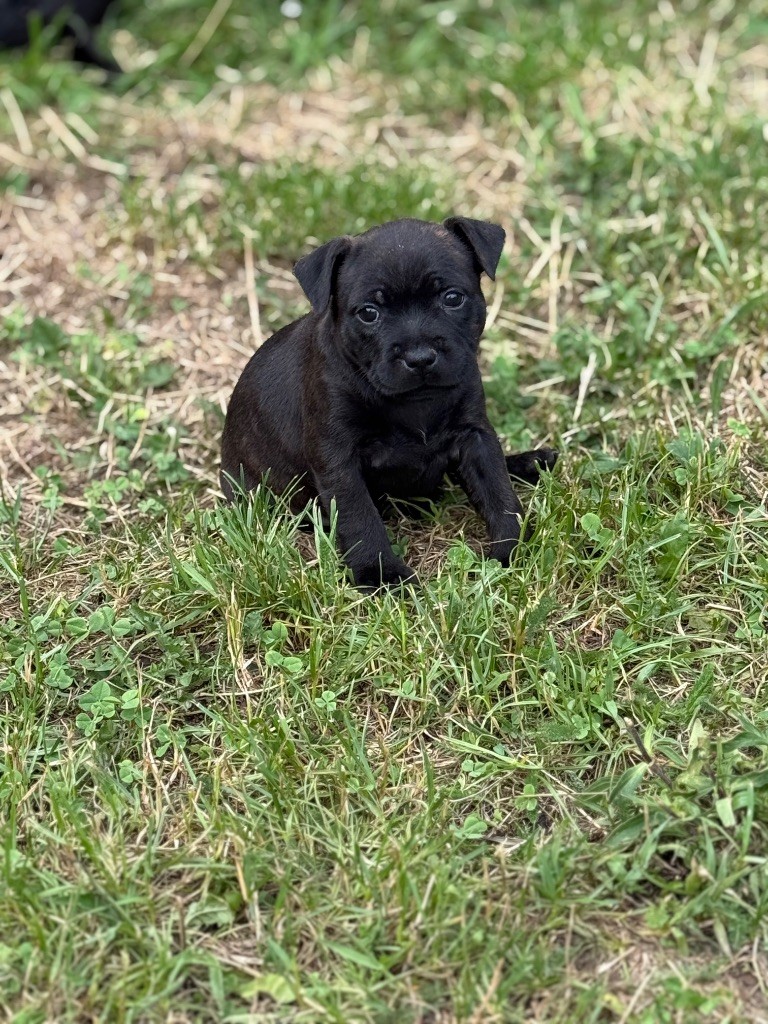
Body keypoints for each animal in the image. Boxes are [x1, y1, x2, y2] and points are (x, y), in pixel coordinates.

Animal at [221, 216, 557, 589]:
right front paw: (381, 574)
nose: (420, 357)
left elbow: (498, 490)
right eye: (369, 313)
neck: (412, 402)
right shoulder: (338, 459)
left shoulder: (475, 436)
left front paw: (512, 547)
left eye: (452, 298)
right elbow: (359, 517)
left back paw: (531, 462)